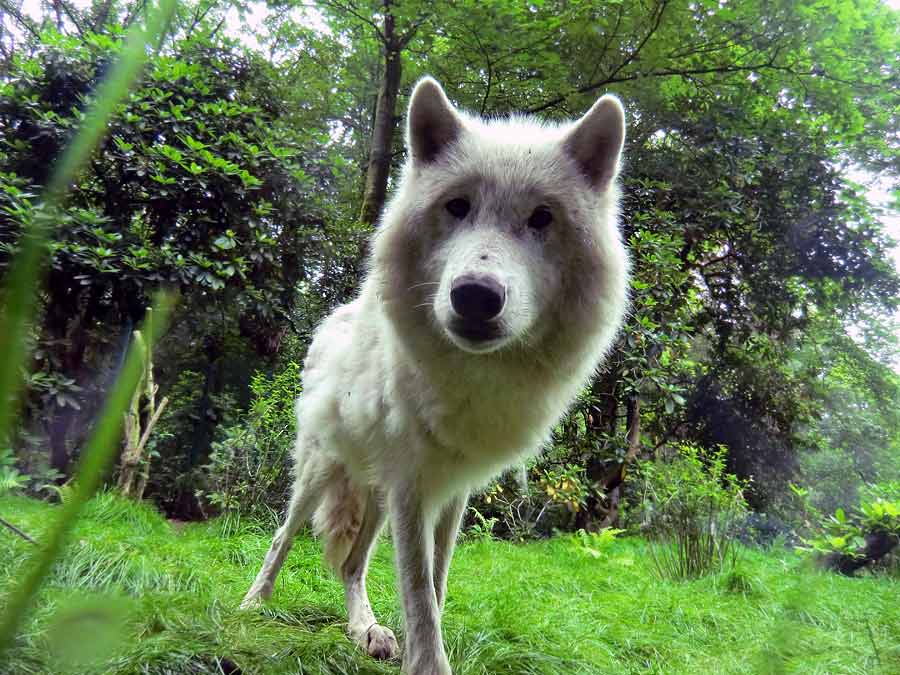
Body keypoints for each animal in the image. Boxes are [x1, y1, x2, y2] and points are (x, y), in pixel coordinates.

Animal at [243, 78, 628, 675]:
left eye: (542, 218)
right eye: (458, 206)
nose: (476, 295)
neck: (472, 380)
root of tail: (336, 317)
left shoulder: (451, 489)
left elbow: (437, 586)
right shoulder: (413, 486)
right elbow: (420, 593)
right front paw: (426, 660)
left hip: (377, 493)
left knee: (352, 564)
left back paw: (366, 630)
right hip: (321, 471)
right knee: (284, 534)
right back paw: (254, 602)